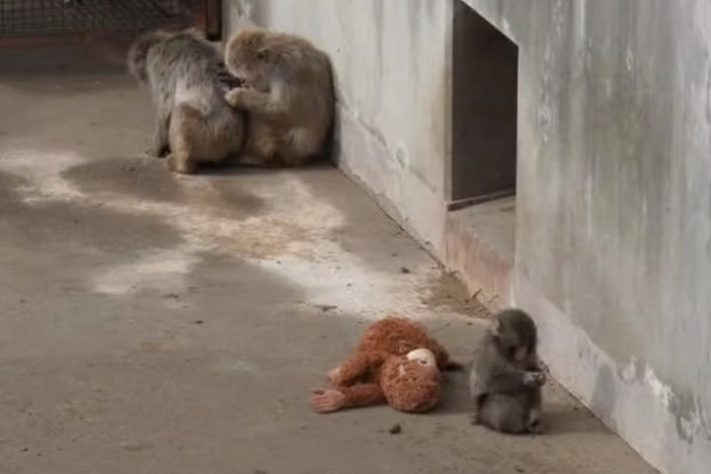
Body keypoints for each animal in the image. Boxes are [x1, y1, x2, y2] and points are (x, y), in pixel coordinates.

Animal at [127, 28, 245, 174]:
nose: (140, 78)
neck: (163, 40)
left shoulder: (157, 63)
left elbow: (165, 110)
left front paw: (155, 150)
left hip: (210, 134)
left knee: (180, 110)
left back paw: (181, 165)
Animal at [223, 27, 335, 167]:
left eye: (245, 77)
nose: (248, 84)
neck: (275, 59)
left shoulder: (286, 72)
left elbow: (285, 109)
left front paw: (237, 96)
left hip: (284, 144)